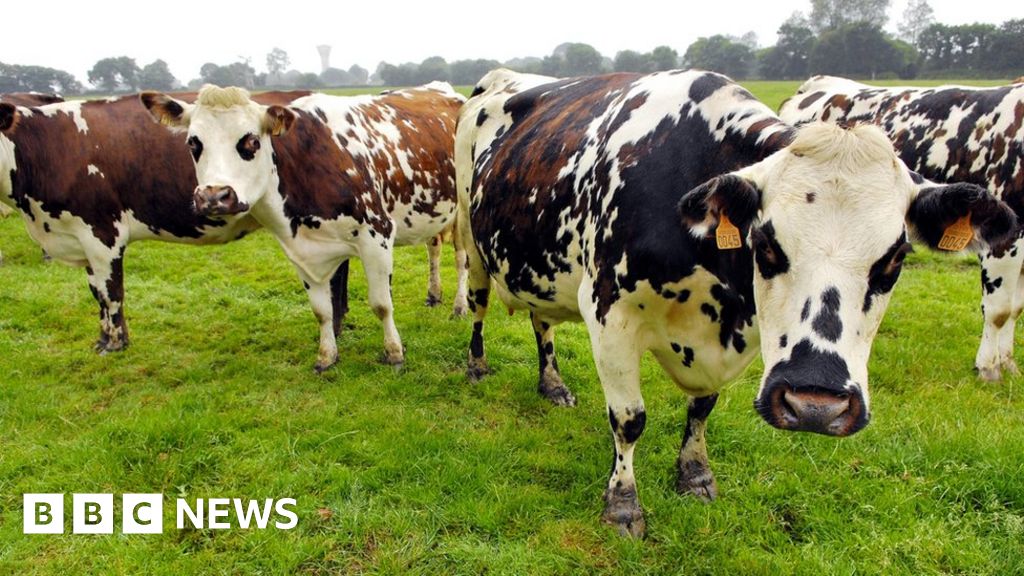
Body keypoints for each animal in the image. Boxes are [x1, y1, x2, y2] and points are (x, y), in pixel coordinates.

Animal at [0, 90, 316, 353]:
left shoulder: (103, 235)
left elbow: (111, 293)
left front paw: (115, 344)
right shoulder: (81, 238)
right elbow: (97, 294)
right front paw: (103, 339)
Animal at [142, 83, 465, 371]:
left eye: (251, 142)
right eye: (193, 143)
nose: (213, 196)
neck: (303, 163)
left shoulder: (377, 235)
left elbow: (381, 304)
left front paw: (394, 353)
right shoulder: (300, 250)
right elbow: (322, 311)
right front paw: (326, 357)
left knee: (461, 260)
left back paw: (459, 306)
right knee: (434, 248)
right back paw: (434, 294)